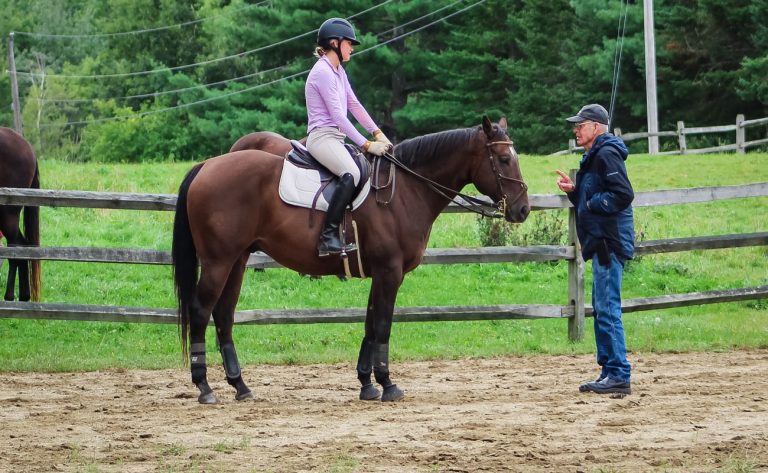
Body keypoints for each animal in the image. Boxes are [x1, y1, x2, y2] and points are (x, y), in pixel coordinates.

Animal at [173, 116, 528, 404]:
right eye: (503, 158)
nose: (522, 209)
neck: (406, 191)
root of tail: (207, 165)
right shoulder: (390, 271)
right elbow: (382, 325)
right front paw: (388, 384)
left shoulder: (382, 273)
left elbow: (370, 324)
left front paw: (367, 384)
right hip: (219, 261)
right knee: (201, 310)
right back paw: (204, 387)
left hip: (237, 260)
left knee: (224, 314)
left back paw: (240, 386)